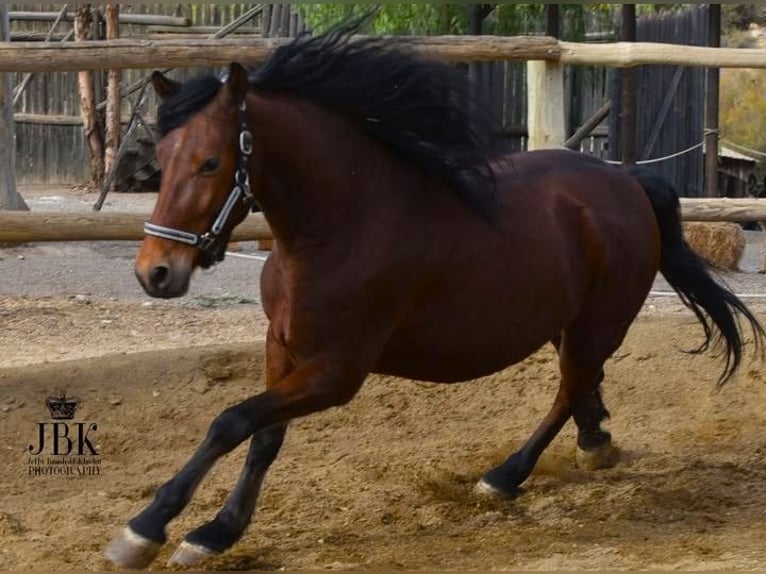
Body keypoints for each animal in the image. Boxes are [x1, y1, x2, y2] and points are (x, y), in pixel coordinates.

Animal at [106, 28, 760, 572]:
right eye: (161, 159)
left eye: (210, 162)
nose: (155, 272)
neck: (339, 227)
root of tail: (628, 180)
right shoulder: (282, 346)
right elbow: (263, 436)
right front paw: (216, 532)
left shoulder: (337, 372)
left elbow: (231, 421)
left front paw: (150, 531)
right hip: (566, 321)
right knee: (584, 384)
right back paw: (594, 443)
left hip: (600, 320)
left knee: (568, 388)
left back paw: (506, 476)